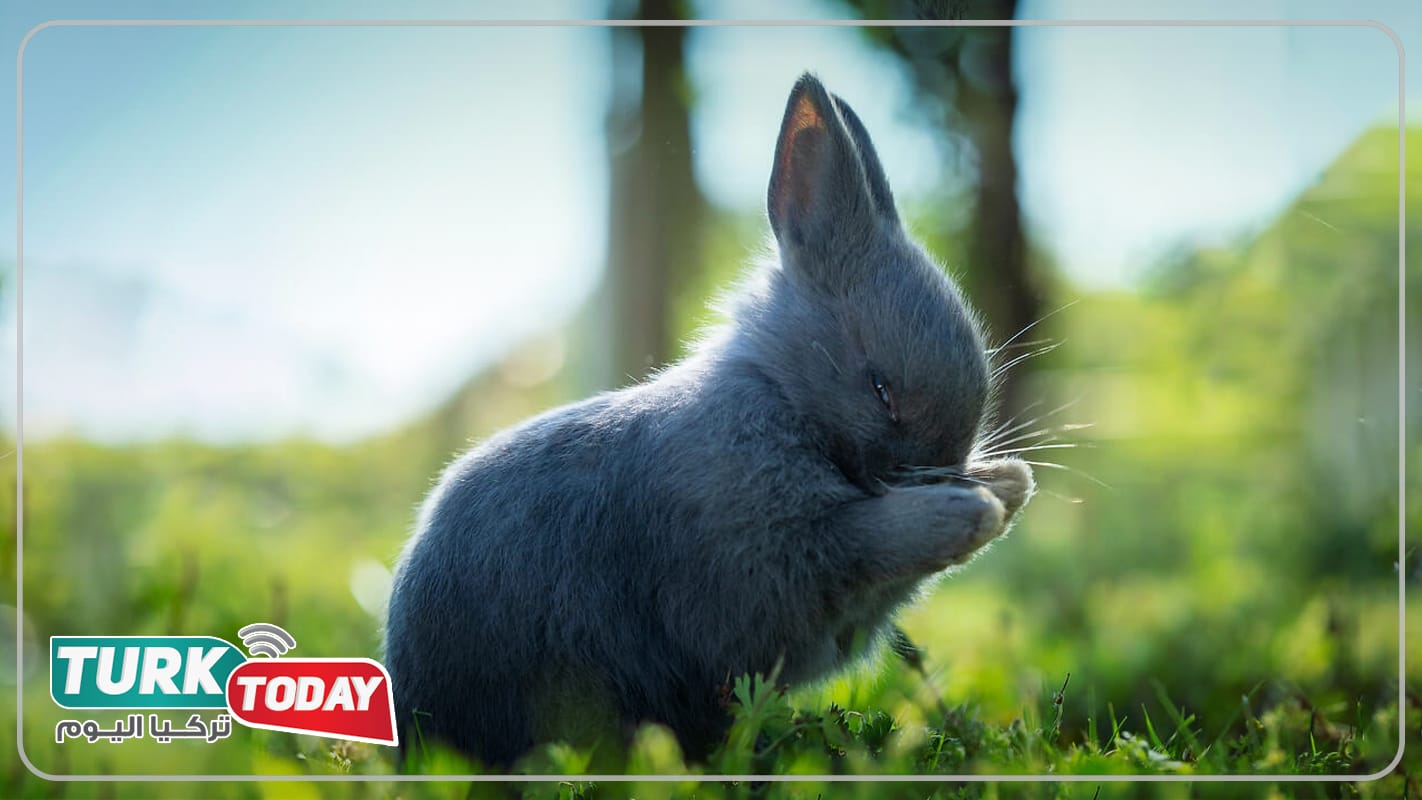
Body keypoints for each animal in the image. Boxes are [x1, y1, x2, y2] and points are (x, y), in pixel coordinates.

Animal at [383, 72, 1034, 768]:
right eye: (881, 389)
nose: (947, 473)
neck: (782, 399)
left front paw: (1009, 483)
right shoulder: (760, 557)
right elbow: (864, 539)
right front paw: (973, 510)